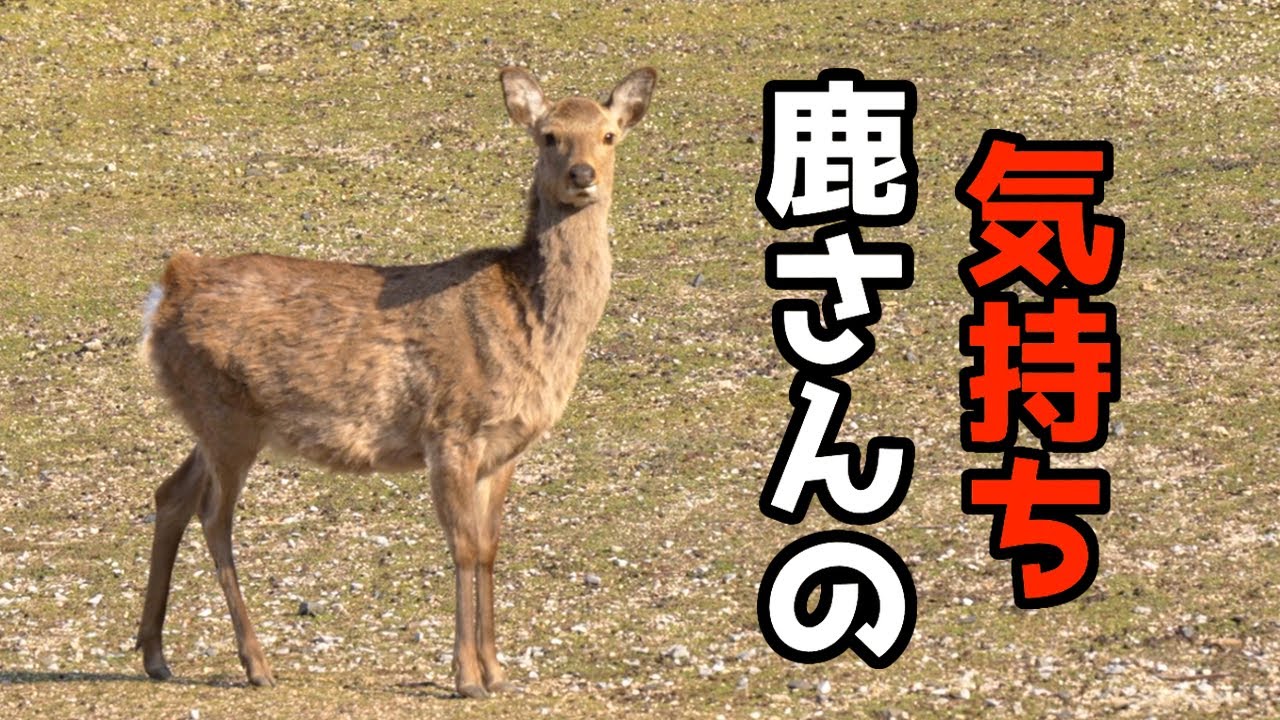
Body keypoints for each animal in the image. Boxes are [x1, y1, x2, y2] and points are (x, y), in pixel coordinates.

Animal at [134, 66, 657, 699]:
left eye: (608, 136)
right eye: (549, 135)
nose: (582, 175)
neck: (531, 327)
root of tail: (167, 289)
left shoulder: (505, 448)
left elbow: (489, 547)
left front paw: (497, 670)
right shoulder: (450, 430)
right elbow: (462, 547)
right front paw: (466, 676)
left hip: (211, 418)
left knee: (171, 494)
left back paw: (155, 655)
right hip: (226, 416)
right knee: (214, 515)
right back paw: (256, 662)